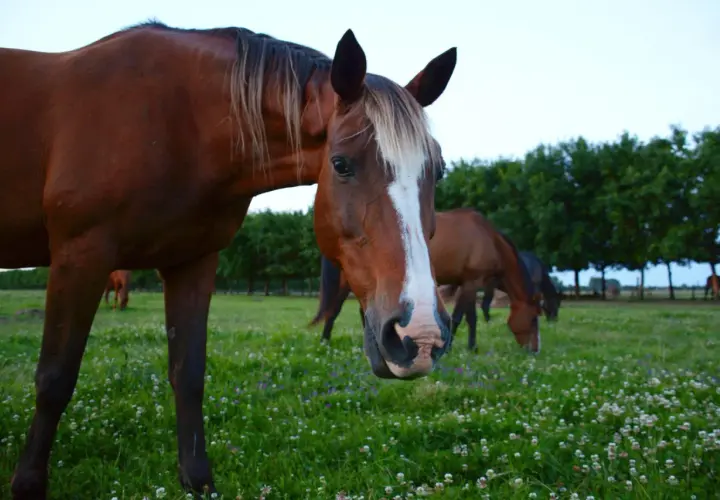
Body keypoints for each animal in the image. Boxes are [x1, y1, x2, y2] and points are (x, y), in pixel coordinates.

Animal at [0, 21, 457, 499]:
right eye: (341, 164)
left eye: (438, 169)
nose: (420, 336)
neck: (177, 121)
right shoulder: (79, 255)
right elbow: (55, 378)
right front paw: (27, 484)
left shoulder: (194, 261)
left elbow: (188, 374)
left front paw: (197, 479)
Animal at [311, 208, 542, 353]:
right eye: (533, 319)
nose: (534, 350)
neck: (488, 238)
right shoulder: (471, 282)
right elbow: (464, 317)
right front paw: (459, 347)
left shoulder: (465, 283)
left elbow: (465, 316)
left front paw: (465, 346)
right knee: (334, 310)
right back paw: (325, 342)